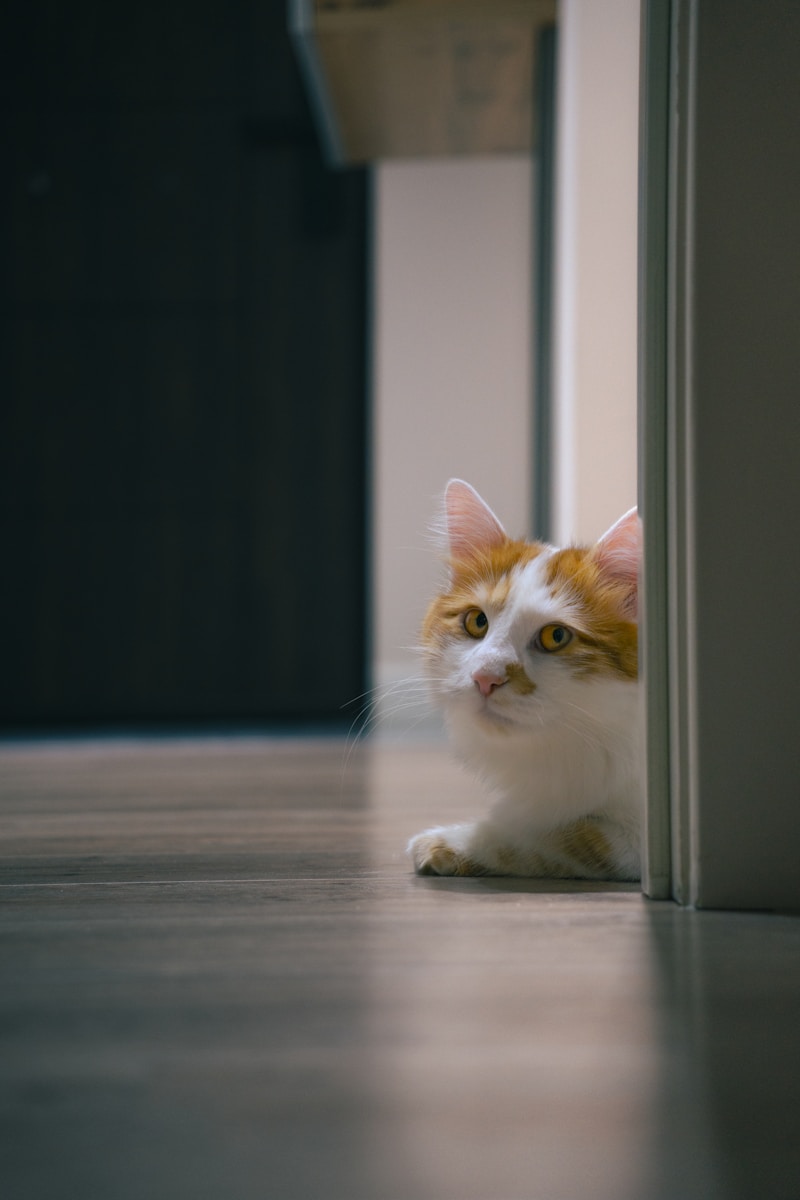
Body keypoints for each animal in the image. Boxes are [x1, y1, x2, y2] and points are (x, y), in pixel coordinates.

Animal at [410, 477, 642, 883]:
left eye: (556, 636)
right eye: (477, 621)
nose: (485, 677)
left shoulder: (640, 838)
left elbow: (560, 834)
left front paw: (453, 841)